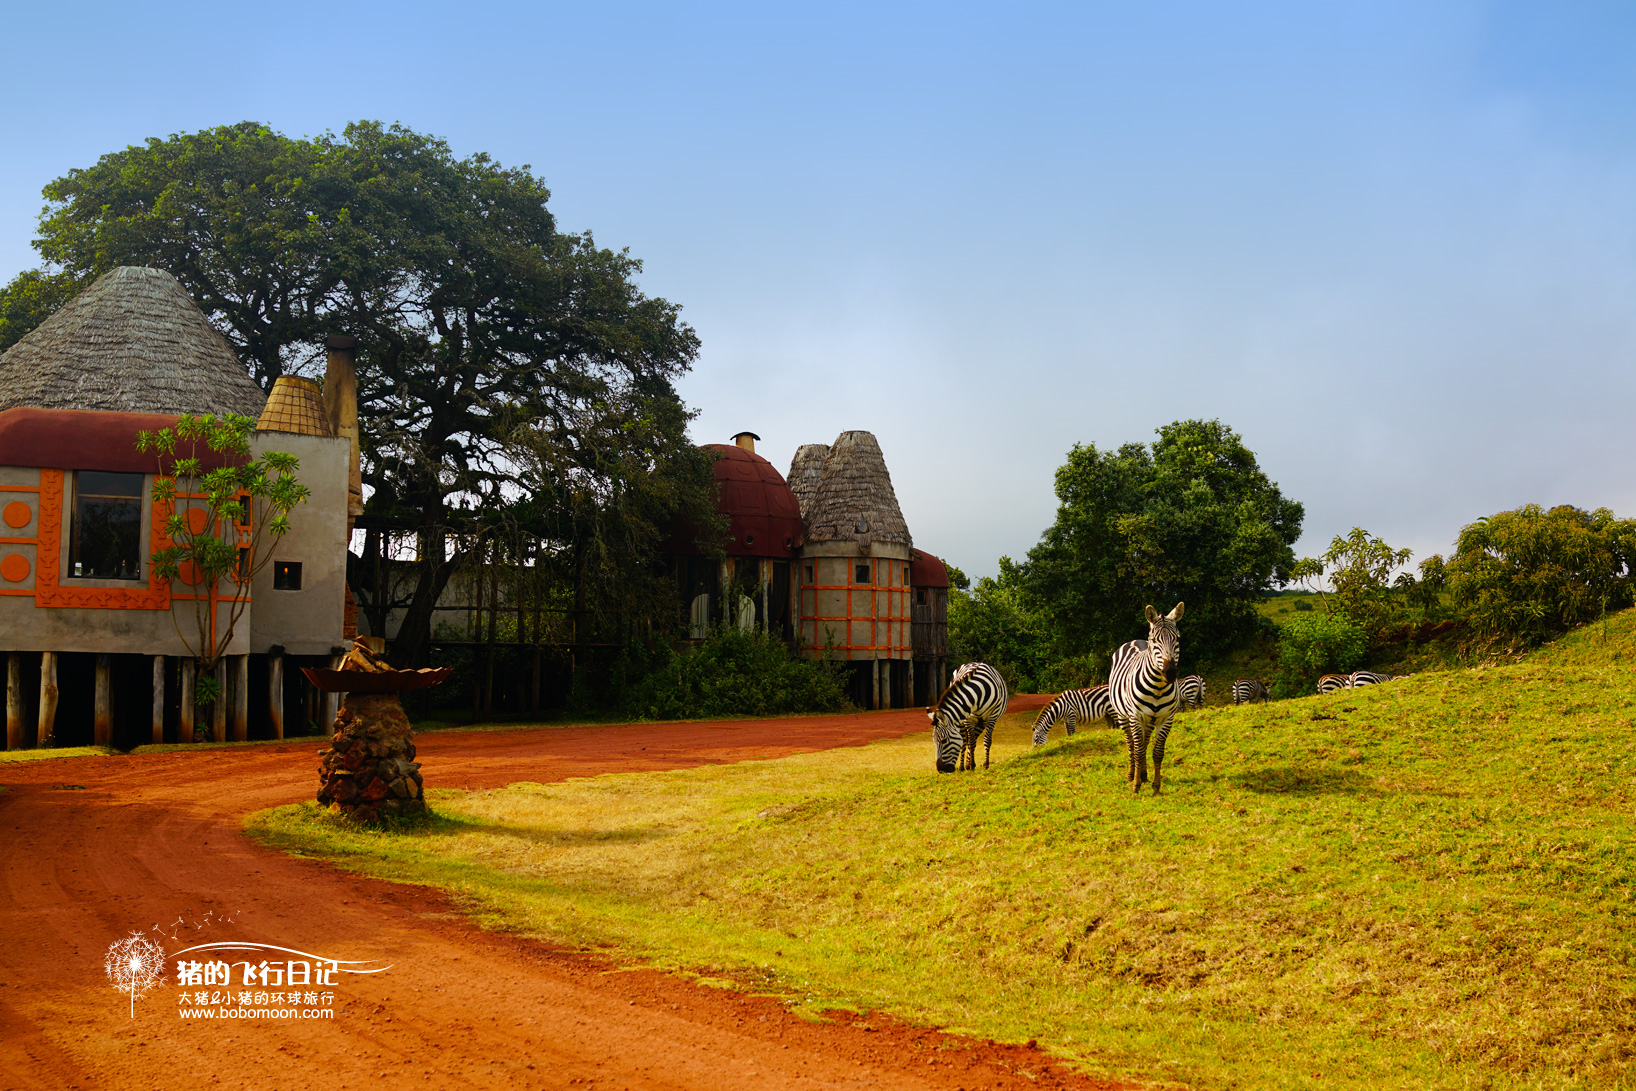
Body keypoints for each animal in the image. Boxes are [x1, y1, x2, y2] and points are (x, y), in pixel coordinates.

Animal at [1105, 605, 1184, 794]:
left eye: (1177, 638)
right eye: (1154, 640)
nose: (1170, 672)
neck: (1158, 687)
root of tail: (1133, 640)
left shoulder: (1167, 718)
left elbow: (1158, 752)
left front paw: (1155, 786)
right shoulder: (1135, 716)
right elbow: (1138, 750)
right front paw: (1136, 785)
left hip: (1149, 720)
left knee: (1145, 742)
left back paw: (1143, 773)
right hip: (1123, 716)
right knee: (1132, 745)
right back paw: (1131, 774)